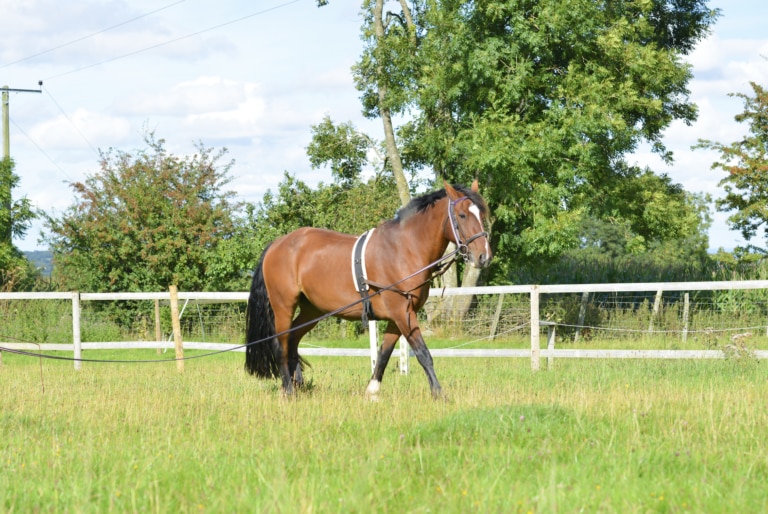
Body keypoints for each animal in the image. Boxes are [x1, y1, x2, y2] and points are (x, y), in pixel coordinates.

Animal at [244, 180, 492, 399]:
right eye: (462, 215)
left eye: (482, 215)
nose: (484, 257)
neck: (404, 249)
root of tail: (276, 244)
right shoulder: (402, 313)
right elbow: (423, 354)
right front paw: (439, 394)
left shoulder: (397, 317)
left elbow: (384, 353)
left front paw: (372, 391)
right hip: (283, 306)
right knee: (281, 345)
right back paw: (288, 390)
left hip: (312, 310)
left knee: (293, 340)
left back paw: (298, 383)